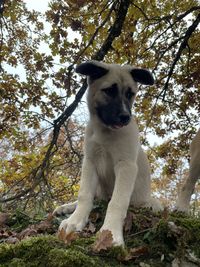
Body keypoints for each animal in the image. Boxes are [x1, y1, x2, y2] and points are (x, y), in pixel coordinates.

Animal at [54, 61, 162, 247]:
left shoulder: (126, 166)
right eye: (109, 91)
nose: (125, 117)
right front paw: (75, 221)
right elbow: (84, 195)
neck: (105, 132)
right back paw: (66, 207)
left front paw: (110, 232)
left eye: (130, 94)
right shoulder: (90, 162)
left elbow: (117, 202)